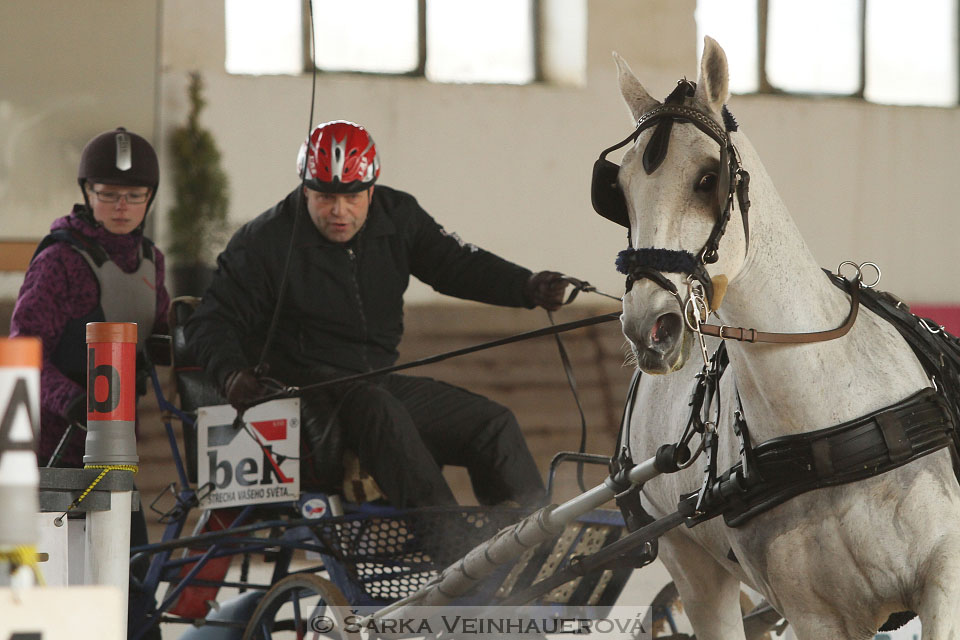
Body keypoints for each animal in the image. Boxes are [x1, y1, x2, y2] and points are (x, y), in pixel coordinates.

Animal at [612, 40, 960, 640]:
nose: (649, 327)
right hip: (693, 567)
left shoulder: (944, 577)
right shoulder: (815, 614)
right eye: (622, 190)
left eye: (708, 177)